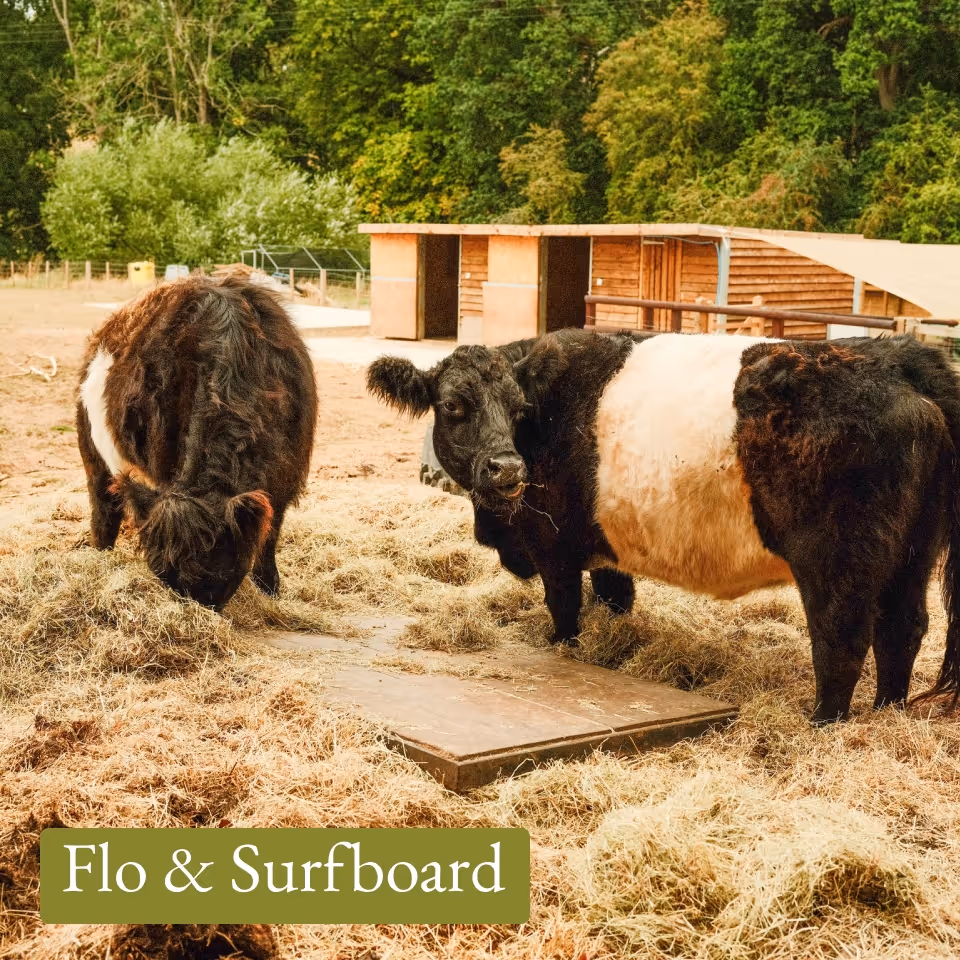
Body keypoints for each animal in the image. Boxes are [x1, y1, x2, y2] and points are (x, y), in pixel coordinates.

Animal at [77, 276, 318, 610]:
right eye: (163, 573)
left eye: (223, 570)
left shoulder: (284, 480)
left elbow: (269, 537)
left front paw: (270, 590)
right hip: (92, 453)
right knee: (103, 509)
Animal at [368, 329, 960, 723]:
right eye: (453, 405)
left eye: (519, 410)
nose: (508, 469)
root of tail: (898, 358)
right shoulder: (607, 551)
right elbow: (615, 601)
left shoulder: (554, 547)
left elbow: (564, 611)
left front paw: (560, 650)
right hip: (910, 557)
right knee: (903, 630)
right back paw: (886, 712)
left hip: (839, 561)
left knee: (843, 638)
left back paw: (823, 721)